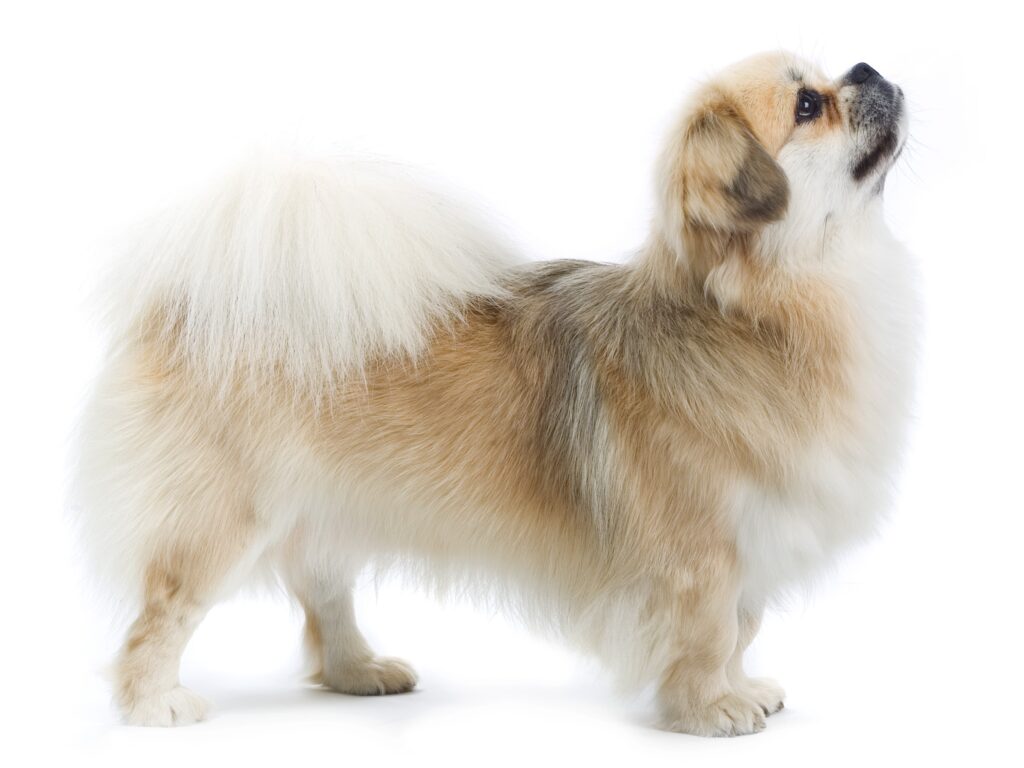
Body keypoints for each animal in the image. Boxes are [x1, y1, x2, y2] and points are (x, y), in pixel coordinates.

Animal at [75, 51, 917, 737]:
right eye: (808, 104)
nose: (869, 68)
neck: (760, 312)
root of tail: (195, 303)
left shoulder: (750, 542)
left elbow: (743, 627)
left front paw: (743, 689)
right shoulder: (699, 553)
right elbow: (710, 633)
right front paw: (712, 710)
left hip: (327, 508)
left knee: (326, 594)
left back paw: (360, 672)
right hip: (223, 522)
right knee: (162, 614)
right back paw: (154, 704)